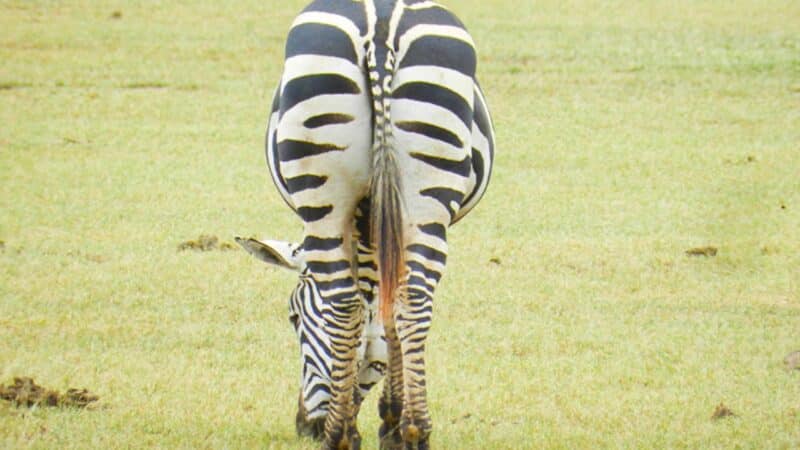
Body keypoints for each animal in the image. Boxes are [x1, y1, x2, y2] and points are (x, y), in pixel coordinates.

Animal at [238, 1, 494, 448]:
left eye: (292, 317)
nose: (304, 427)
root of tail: (381, 22)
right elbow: (386, 315)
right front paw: (394, 420)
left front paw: (383, 417)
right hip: (425, 194)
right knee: (413, 300)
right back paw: (415, 430)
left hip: (324, 193)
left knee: (344, 305)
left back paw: (341, 434)